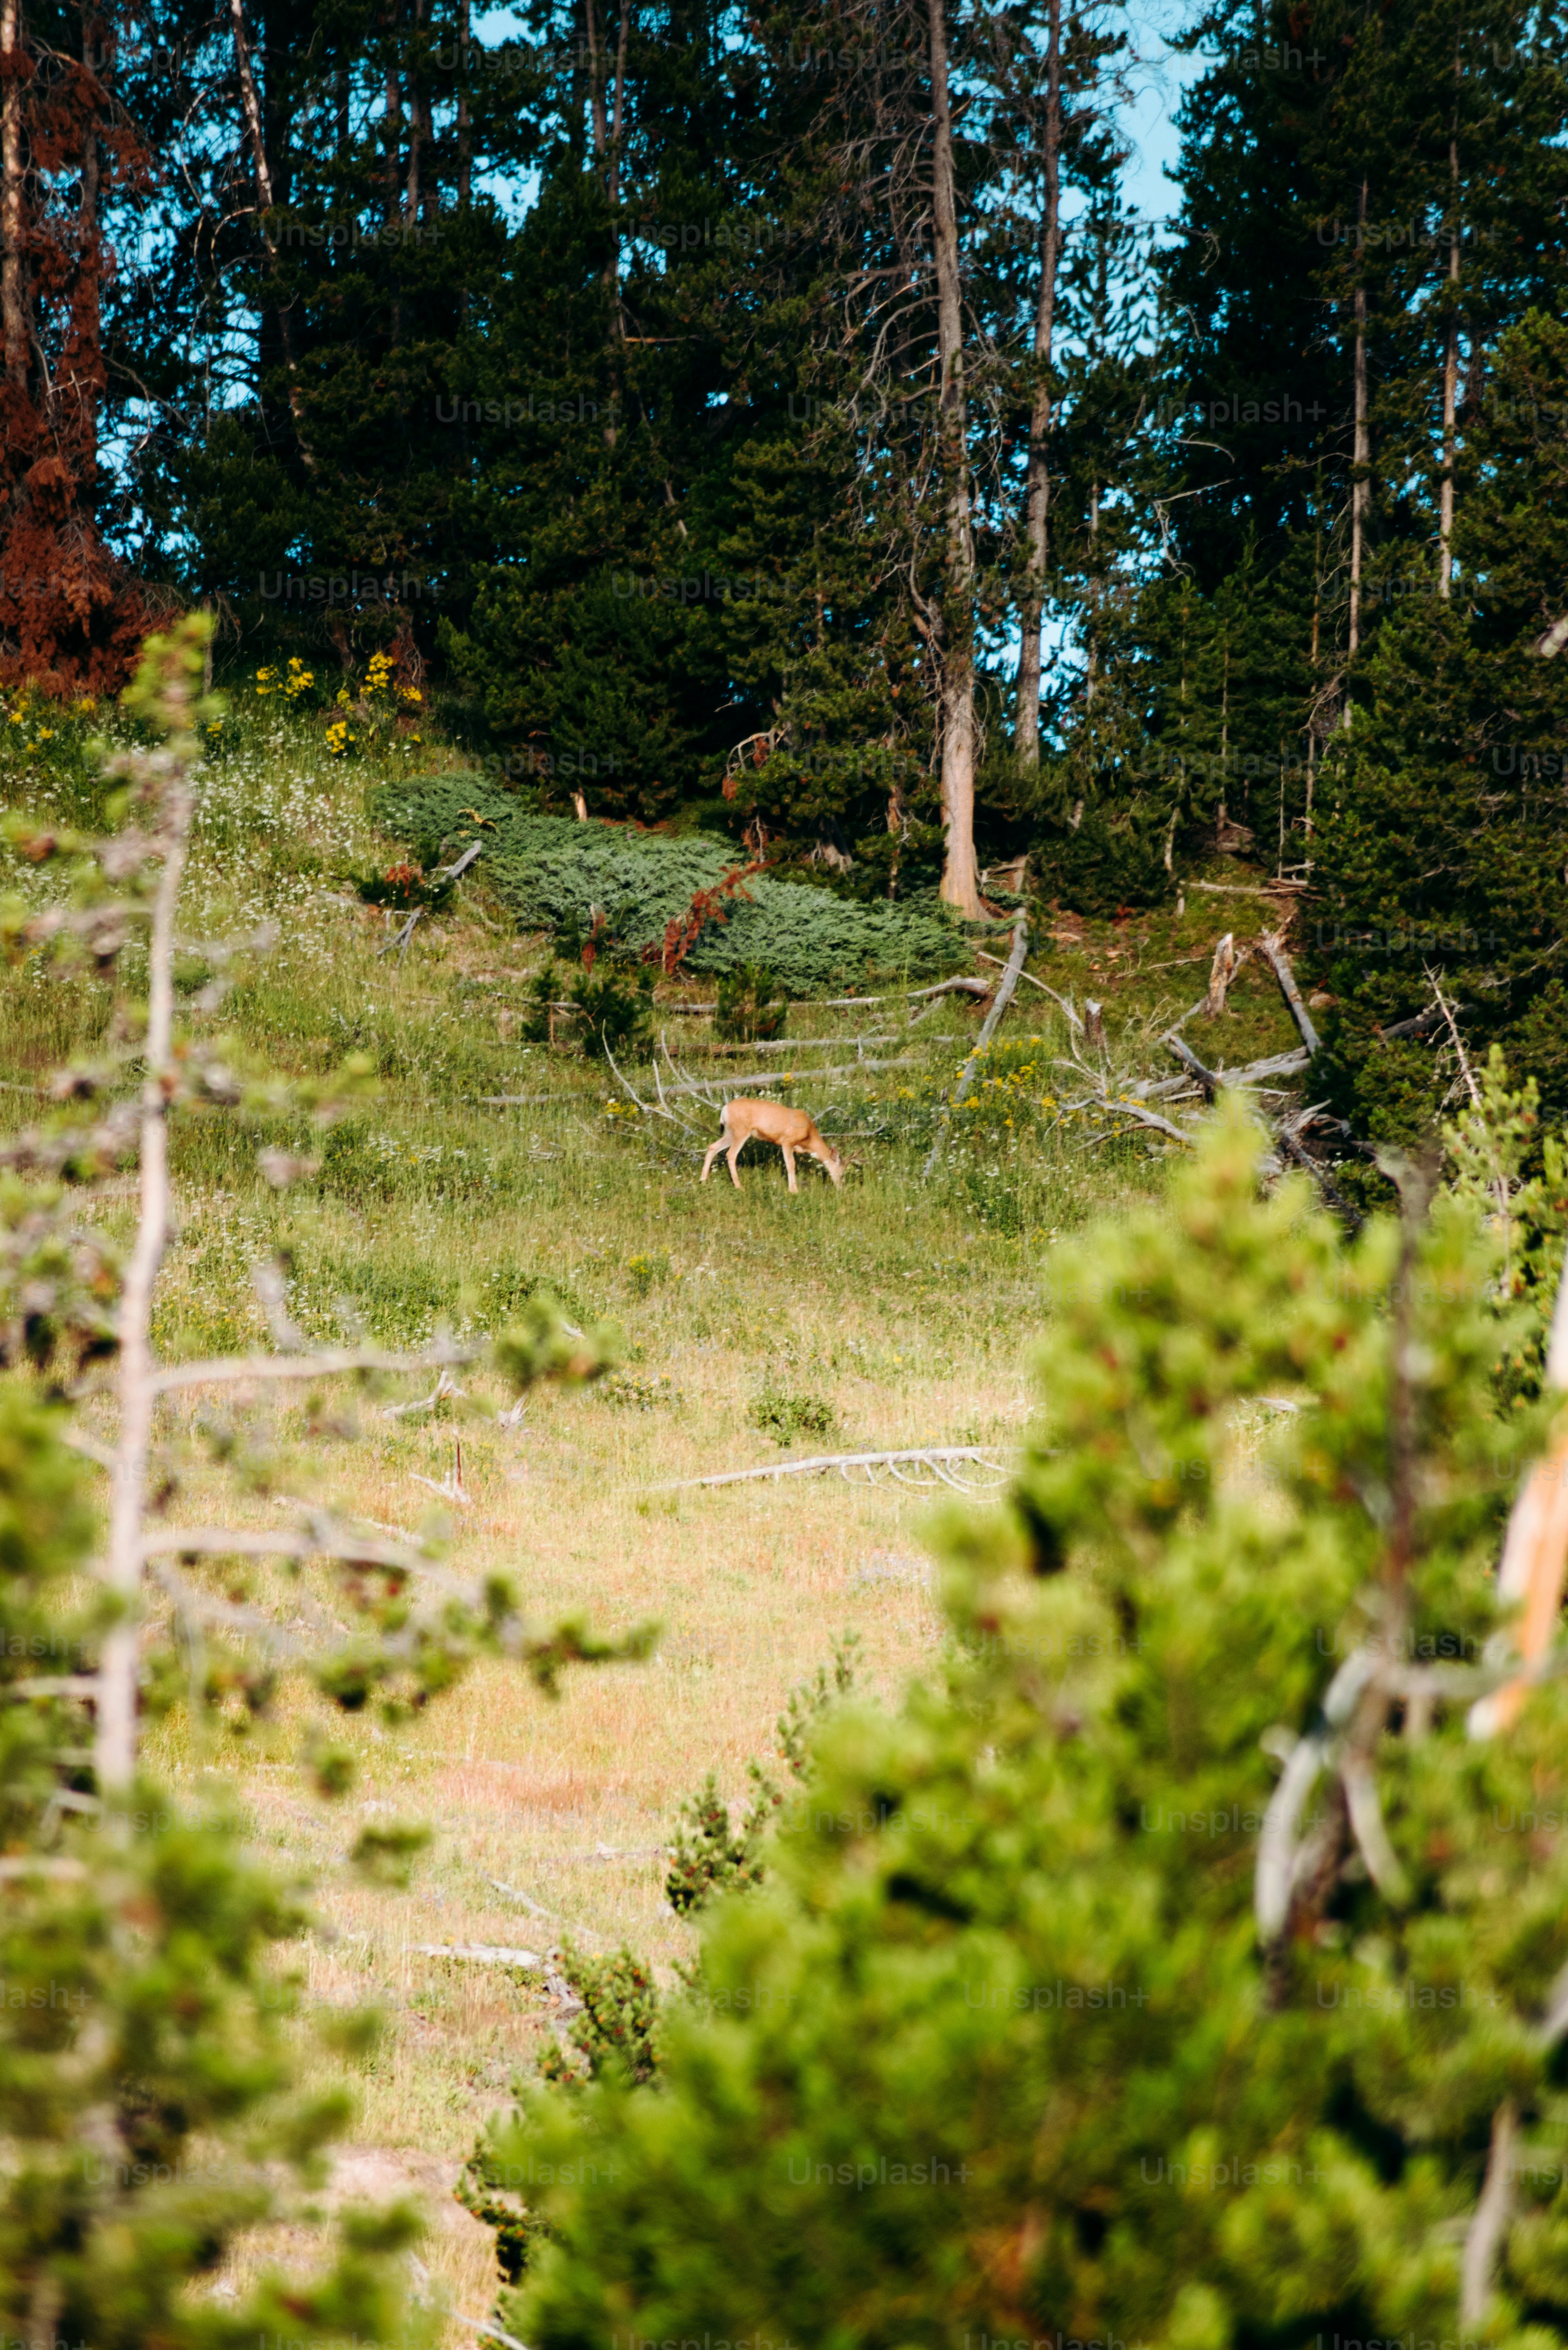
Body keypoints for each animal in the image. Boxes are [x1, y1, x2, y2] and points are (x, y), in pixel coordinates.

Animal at [700, 1098, 844, 1193]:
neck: (808, 1132)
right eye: (843, 1173)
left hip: (731, 1133)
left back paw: (703, 1180)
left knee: (713, 1147)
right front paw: (794, 1191)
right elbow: (791, 1164)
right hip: (742, 1132)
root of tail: (725, 1109)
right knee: (731, 1154)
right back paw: (739, 1187)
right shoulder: (787, 1141)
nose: (841, 1189)